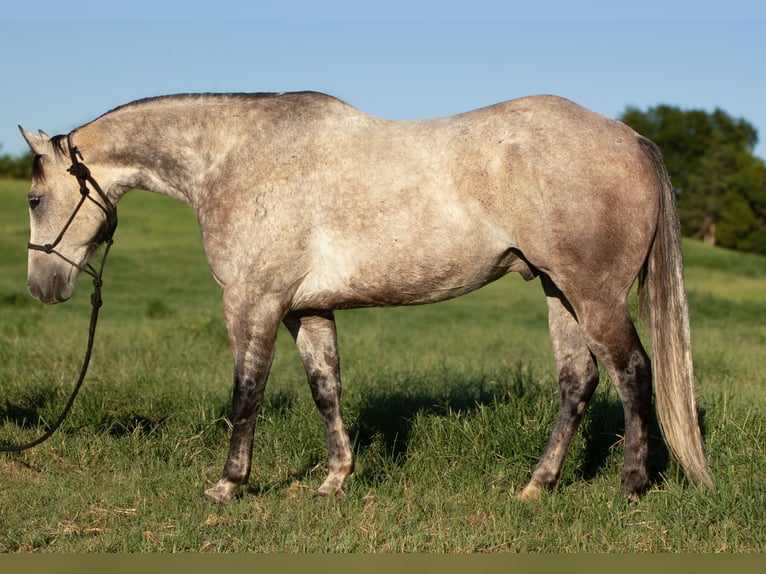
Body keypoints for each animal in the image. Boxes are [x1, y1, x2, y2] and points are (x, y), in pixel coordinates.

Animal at [19, 91, 714, 504]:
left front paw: (228, 485)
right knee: (578, 382)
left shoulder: (253, 303)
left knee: (634, 373)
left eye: (32, 198)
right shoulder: (305, 310)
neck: (234, 159)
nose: (42, 287)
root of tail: (631, 138)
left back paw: (630, 486)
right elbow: (326, 388)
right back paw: (536, 487)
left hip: (593, 296)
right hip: (556, 291)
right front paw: (335, 479)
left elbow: (246, 394)